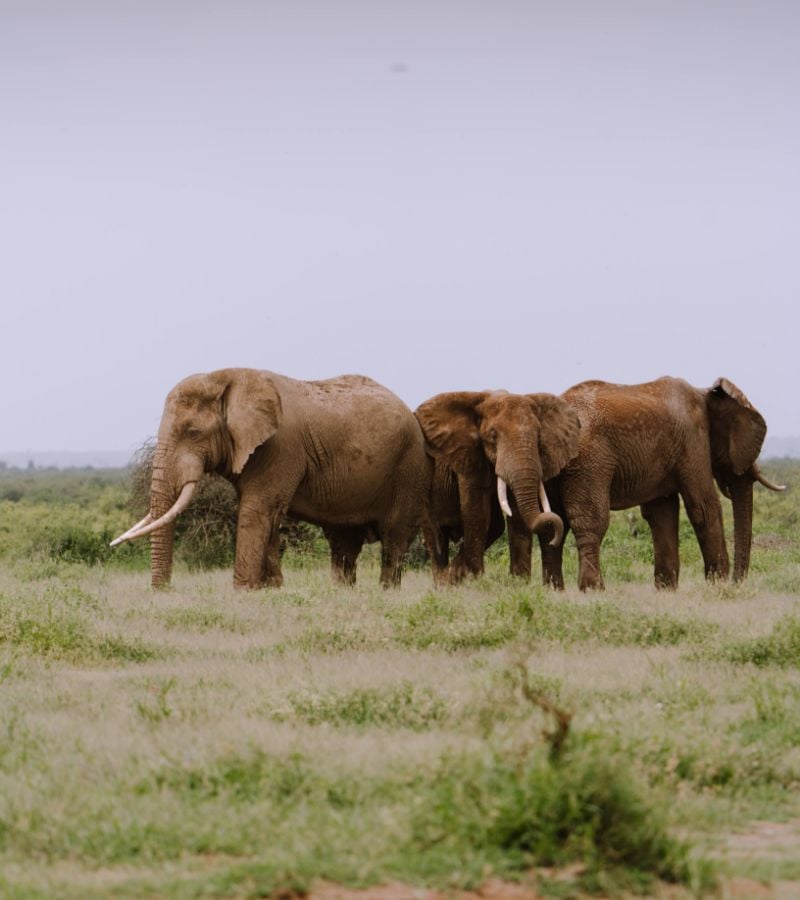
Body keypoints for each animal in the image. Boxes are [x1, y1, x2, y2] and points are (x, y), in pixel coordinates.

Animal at [111, 368, 431, 589]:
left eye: (193, 433)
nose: (162, 591)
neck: (225, 377)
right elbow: (267, 514)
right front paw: (271, 588)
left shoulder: (280, 446)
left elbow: (256, 511)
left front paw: (243, 591)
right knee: (344, 541)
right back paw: (344, 592)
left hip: (409, 466)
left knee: (394, 536)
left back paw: (387, 592)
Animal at [415, 391, 581, 583]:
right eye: (493, 435)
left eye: (539, 435)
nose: (553, 538)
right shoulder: (469, 456)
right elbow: (477, 514)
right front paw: (477, 581)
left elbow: (517, 518)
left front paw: (518, 583)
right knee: (436, 536)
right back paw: (443, 581)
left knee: (495, 526)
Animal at [532, 376, 785, 591]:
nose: (736, 582)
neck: (705, 394)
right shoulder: (693, 440)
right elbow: (703, 508)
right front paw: (717, 584)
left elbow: (661, 513)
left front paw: (666, 589)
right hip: (589, 459)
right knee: (592, 520)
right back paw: (593, 589)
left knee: (554, 523)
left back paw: (554, 590)